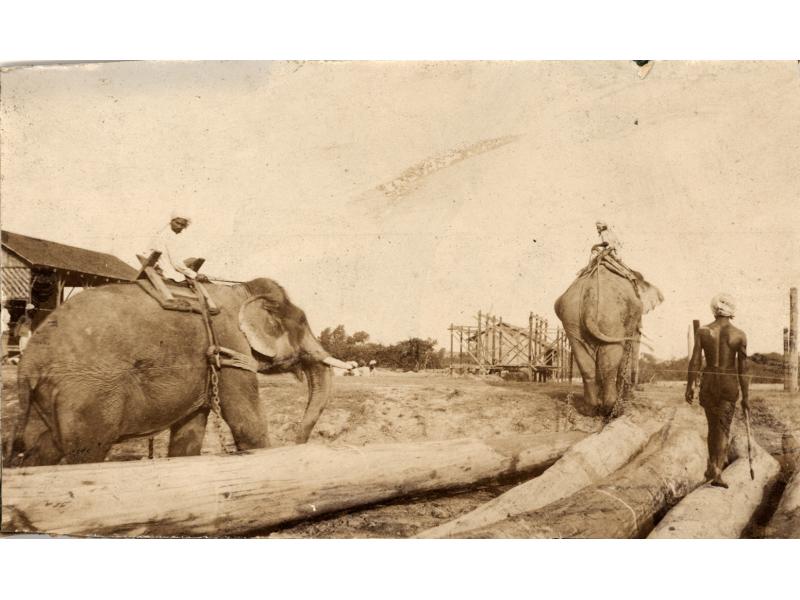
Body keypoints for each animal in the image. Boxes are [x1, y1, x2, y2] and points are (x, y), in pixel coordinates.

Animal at [3, 278, 354, 466]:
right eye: (302, 323)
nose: (298, 443)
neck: (241, 292)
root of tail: (30, 361)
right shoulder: (229, 348)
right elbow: (248, 423)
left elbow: (189, 433)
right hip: (87, 396)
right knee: (84, 455)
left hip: (46, 399)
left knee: (41, 452)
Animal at [556, 260, 664, 420]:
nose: (639, 388)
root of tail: (591, 295)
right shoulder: (633, 315)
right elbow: (627, 347)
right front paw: (626, 399)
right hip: (611, 317)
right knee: (611, 354)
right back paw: (612, 410)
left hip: (571, 318)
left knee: (582, 356)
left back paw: (590, 410)